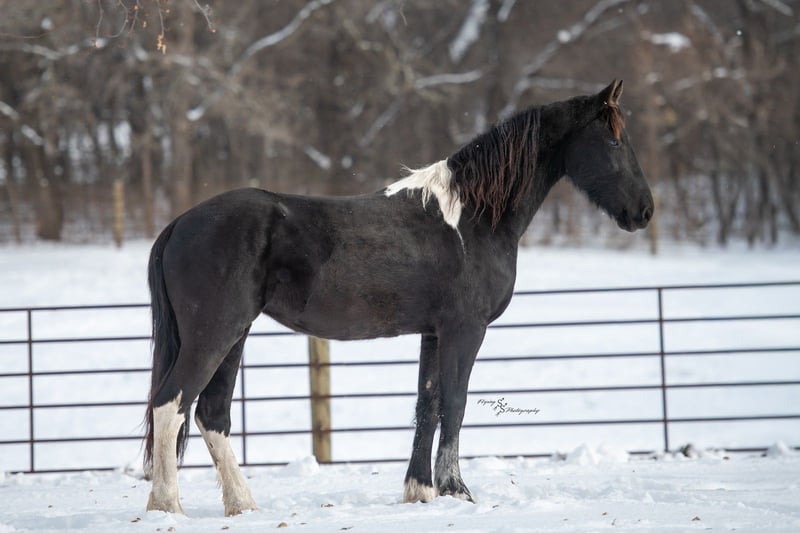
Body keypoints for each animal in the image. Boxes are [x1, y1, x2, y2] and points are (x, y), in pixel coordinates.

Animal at [143, 80, 653, 516]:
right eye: (614, 141)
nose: (645, 211)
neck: (472, 219)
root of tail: (179, 224)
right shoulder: (465, 331)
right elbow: (455, 402)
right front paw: (456, 490)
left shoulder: (433, 333)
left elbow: (427, 405)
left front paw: (420, 491)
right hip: (214, 334)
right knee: (171, 404)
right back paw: (168, 505)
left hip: (235, 335)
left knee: (211, 414)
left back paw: (242, 505)